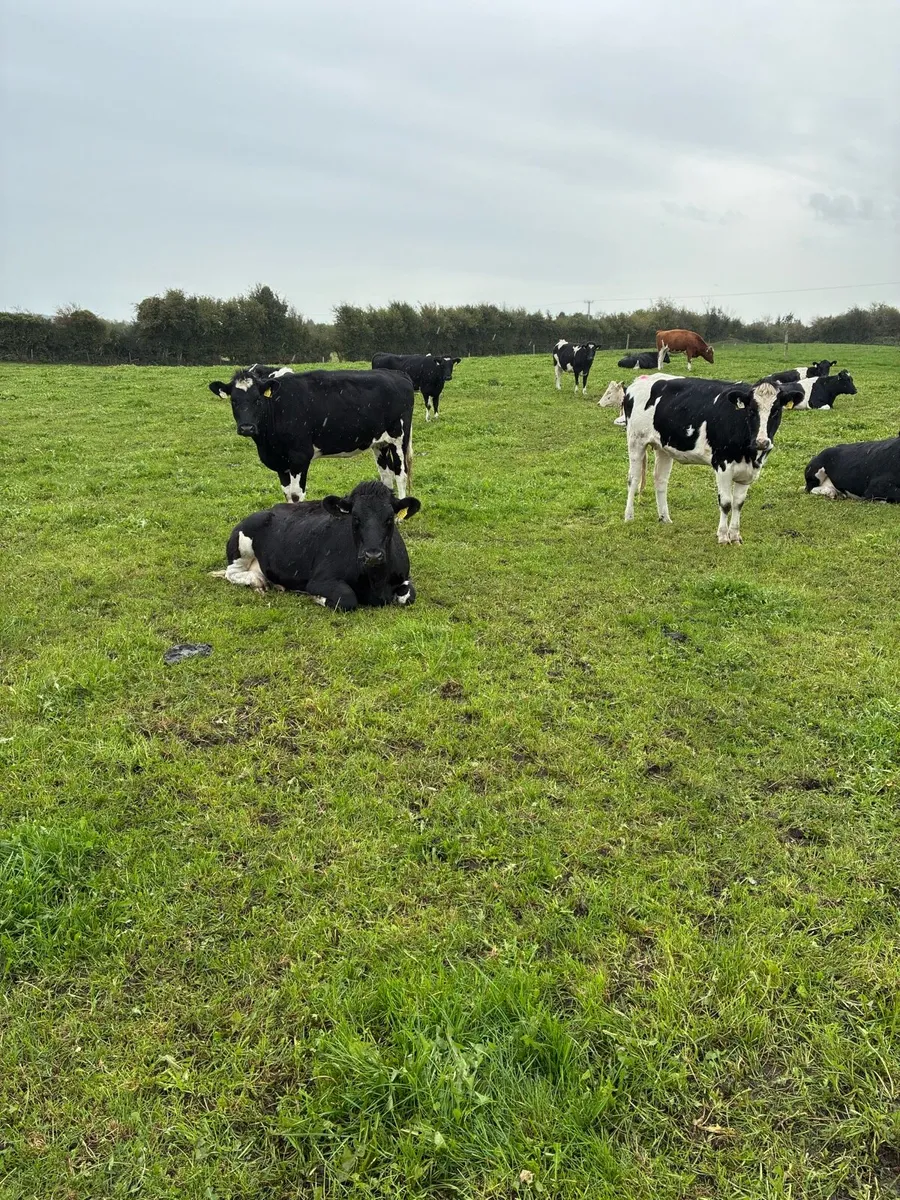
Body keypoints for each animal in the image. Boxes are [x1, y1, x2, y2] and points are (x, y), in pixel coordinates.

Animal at [208, 367, 414, 503]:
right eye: (234, 401)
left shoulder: (300, 457)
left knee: (400, 473)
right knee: (386, 475)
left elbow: (296, 495)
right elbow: (287, 494)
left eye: (258, 399)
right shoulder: (280, 463)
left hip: (399, 438)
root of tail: (398, 374)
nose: (246, 428)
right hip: (379, 443)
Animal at [213, 480, 421, 610]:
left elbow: (409, 595)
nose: (373, 555)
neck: (376, 582)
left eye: (389, 518)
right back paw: (257, 580)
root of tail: (267, 510)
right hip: (243, 543)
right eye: (355, 517)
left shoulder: (404, 576)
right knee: (231, 573)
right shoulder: (319, 580)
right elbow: (346, 598)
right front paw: (316, 597)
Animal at [623, 375, 802, 543]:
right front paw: (723, 536)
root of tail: (639, 381)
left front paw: (735, 536)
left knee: (660, 480)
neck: (749, 454)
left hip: (663, 447)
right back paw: (629, 517)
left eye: (776, 410)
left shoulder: (749, 472)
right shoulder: (722, 465)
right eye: (751, 410)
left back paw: (664, 518)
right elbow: (726, 503)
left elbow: (738, 503)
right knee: (633, 479)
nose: (762, 442)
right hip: (635, 440)